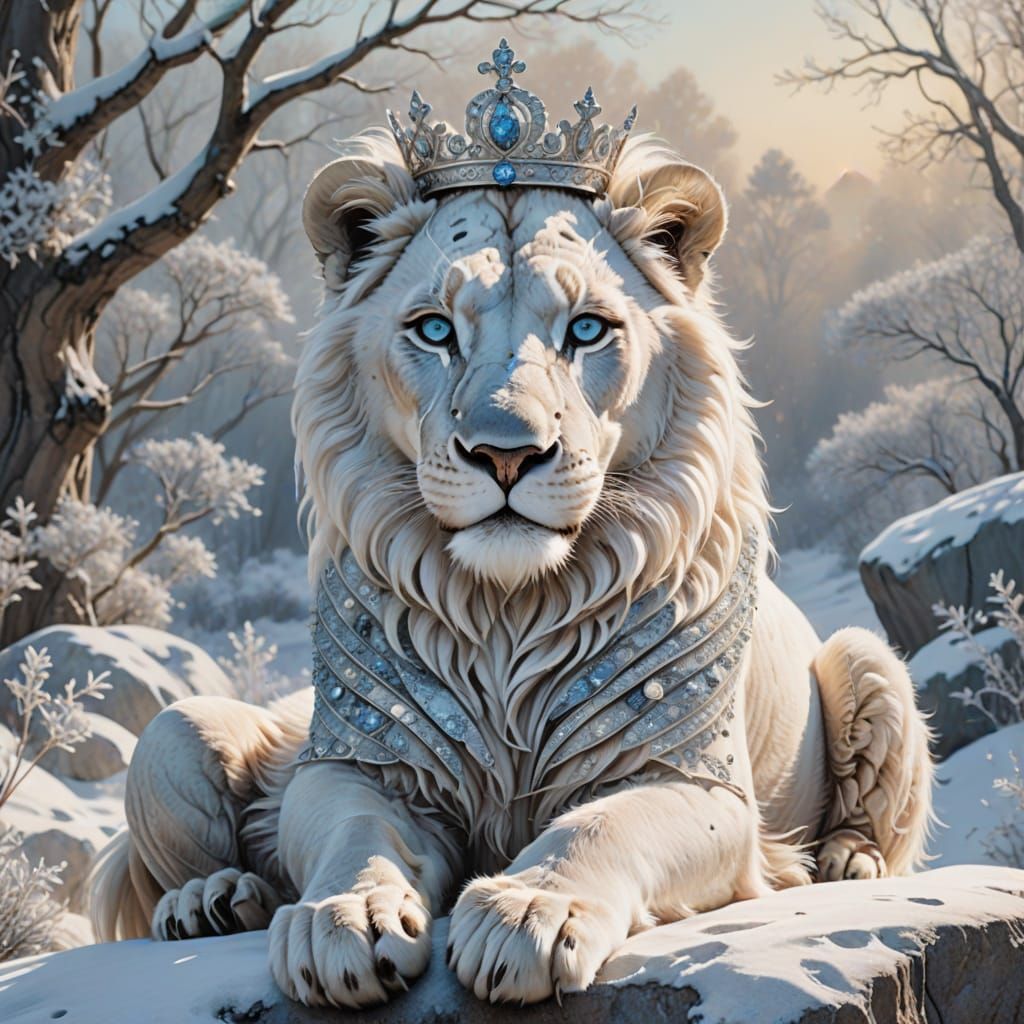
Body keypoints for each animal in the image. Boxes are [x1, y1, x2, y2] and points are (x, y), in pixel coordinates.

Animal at [89, 126, 933, 1010]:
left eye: (587, 331)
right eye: (434, 331)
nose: (505, 453)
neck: (508, 611)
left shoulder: (697, 783)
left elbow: (601, 824)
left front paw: (529, 914)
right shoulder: (361, 762)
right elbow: (357, 833)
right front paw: (344, 919)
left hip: (872, 662)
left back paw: (846, 863)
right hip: (174, 733)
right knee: (172, 827)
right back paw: (213, 901)